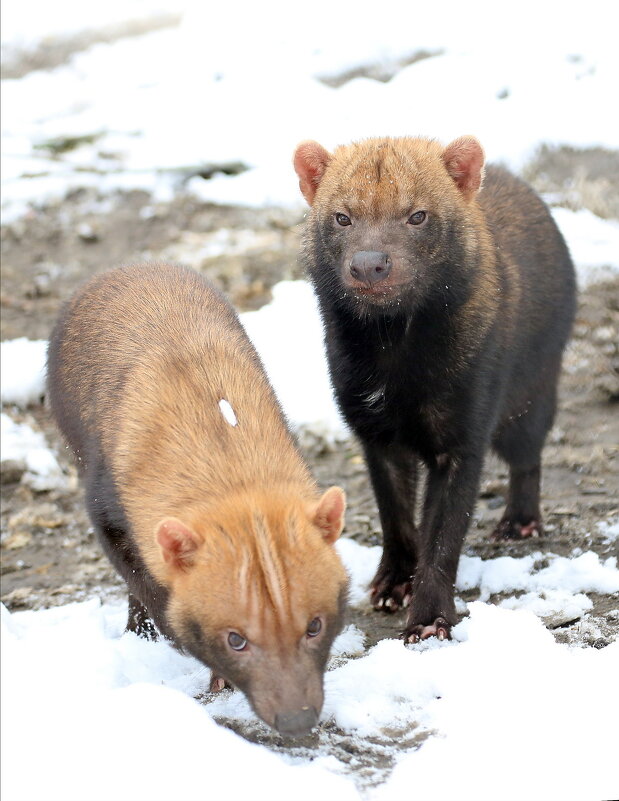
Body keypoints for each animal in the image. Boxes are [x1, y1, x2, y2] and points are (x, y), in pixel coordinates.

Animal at [45, 260, 348, 736]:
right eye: (235, 639)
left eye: (315, 625)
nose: (297, 721)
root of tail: (128, 267)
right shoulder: (105, 511)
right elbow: (147, 586)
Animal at [294, 134, 576, 640]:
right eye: (342, 216)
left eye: (418, 215)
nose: (370, 265)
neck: (397, 369)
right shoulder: (373, 433)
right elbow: (396, 516)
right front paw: (390, 585)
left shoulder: (464, 434)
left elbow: (444, 535)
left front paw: (428, 621)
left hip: (533, 393)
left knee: (529, 457)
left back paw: (519, 523)